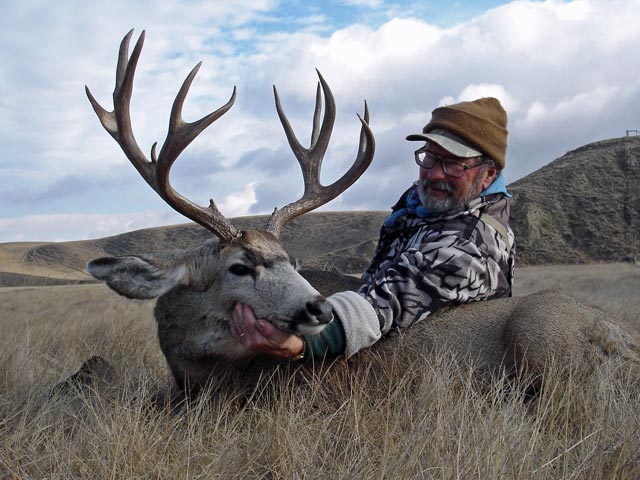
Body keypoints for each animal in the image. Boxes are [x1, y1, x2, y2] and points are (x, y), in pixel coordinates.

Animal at [84, 30, 640, 397]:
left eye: (293, 261)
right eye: (239, 266)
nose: (319, 308)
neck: (201, 377)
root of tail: (624, 341)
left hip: (543, 335)